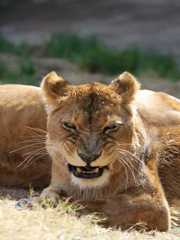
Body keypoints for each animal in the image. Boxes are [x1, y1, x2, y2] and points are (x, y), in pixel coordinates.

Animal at [0, 71, 180, 231]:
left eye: (111, 127)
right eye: (69, 125)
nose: (88, 157)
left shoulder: (155, 205)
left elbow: (99, 204)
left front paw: (38, 202)